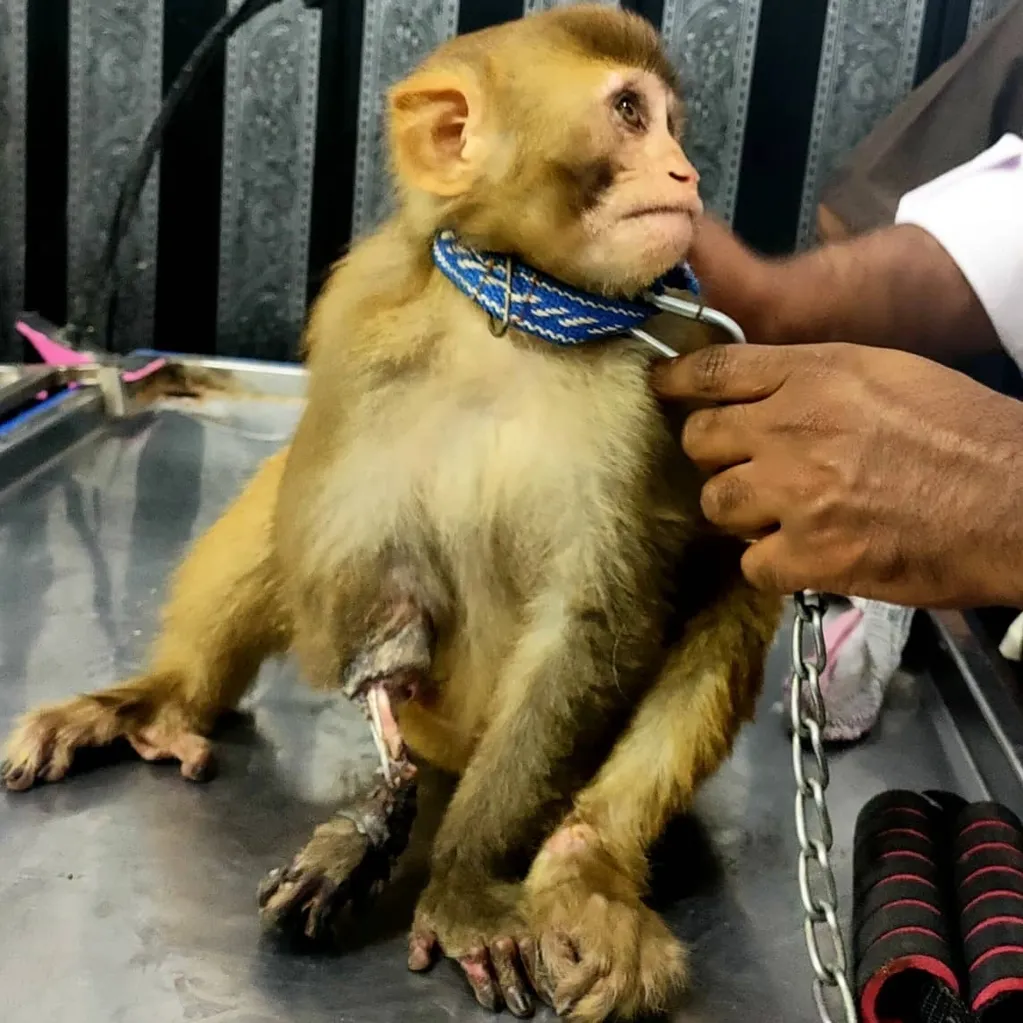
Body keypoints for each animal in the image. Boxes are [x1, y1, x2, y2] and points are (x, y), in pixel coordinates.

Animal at [1, 7, 783, 1022]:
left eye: (669, 122)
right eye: (627, 112)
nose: (684, 174)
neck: (516, 319)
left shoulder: (660, 383)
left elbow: (592, 623)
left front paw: (461, 879)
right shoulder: (362, 322)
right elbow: (332, 529)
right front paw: (376, 770)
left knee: (739, 585)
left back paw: (584, 867)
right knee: (281, 508)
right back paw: (166, 700)